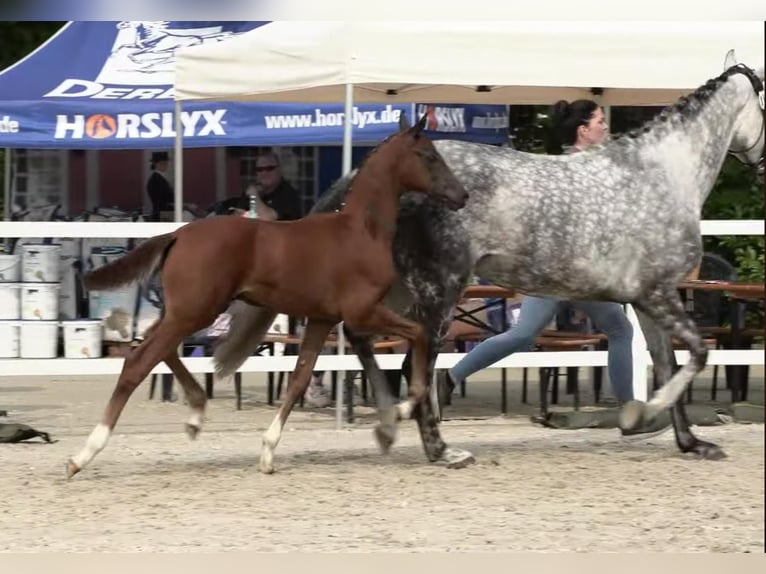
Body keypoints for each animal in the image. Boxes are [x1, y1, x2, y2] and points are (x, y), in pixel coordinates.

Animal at [216, 50, 766, 468]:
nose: (761, 165)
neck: (662, 174)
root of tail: (369, 173)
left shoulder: (650, 299)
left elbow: (668, 360)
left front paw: (689, 441)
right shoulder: (658, 294)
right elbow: (696, 355)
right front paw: (640, 416)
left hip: (399, 288)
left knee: (365, 340)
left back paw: (390, 423)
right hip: (439, 288)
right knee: (417, 355)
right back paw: (439, 448)